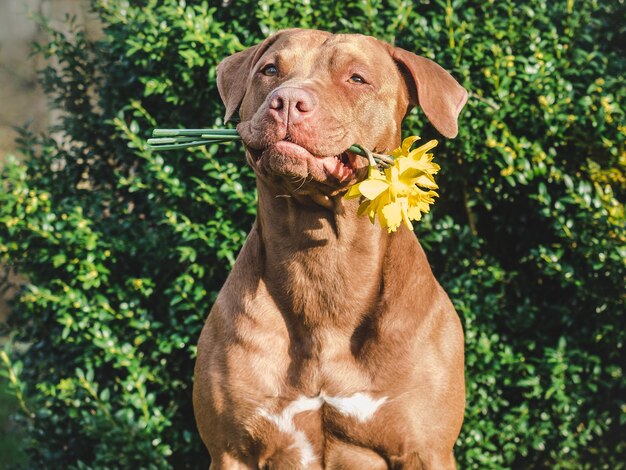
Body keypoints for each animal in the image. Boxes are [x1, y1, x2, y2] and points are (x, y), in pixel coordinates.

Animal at [193, 29, 466, 470]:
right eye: (270, 70)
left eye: (356, 78)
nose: (287, 101)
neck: (323, 267)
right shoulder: (232, 450)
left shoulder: (426, 450)